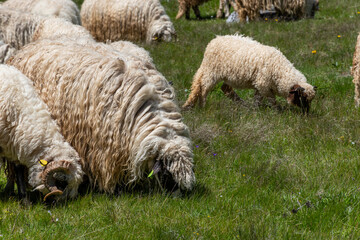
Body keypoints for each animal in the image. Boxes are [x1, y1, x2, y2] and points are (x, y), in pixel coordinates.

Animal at [181, 35, 316, 113]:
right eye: (301, 97)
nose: (306, 113)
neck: (280, 71)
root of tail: (214, 40)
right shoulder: (263, 85)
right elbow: (271, 100)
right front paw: (277, 110)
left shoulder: (261, 86)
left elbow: (258, 98)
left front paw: (254, 109)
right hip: (211, 72)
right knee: (204, 88)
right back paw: (202, 106)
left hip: (224, 75)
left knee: (224, 88)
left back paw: (241, 103)